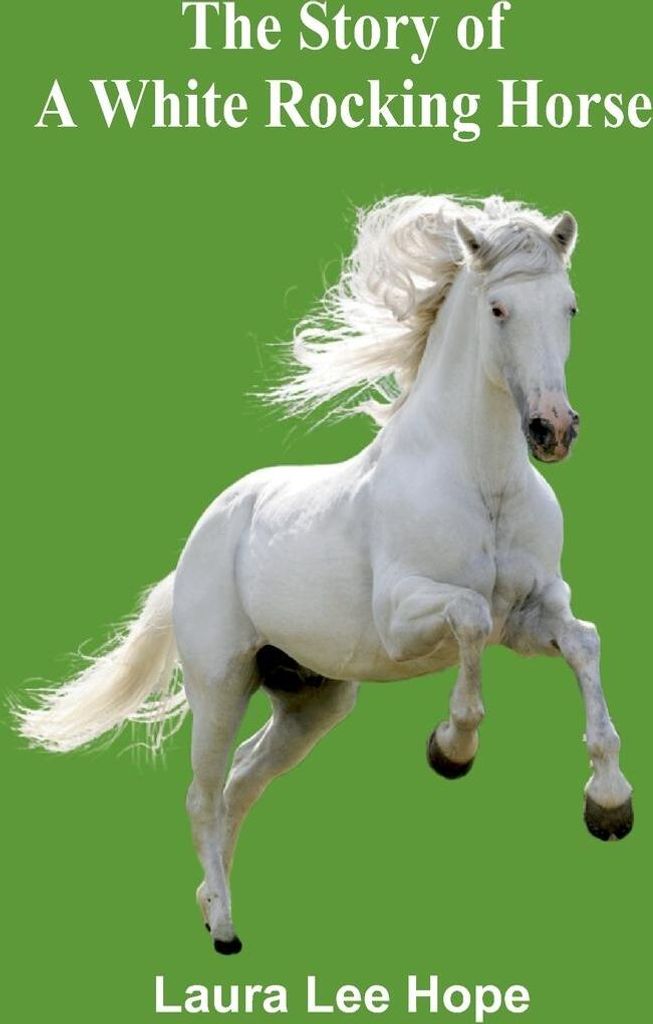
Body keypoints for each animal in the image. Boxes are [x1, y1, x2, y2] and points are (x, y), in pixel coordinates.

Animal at [16, 194, 634, 956]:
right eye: (498, 309)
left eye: (568, 306)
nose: (553, 429)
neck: (481, 482)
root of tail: (200, 539)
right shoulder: (406, 617)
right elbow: (469, 619)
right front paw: (451, 749)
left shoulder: (533, 613)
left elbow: (584, 641)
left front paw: (609, 805)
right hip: (220, 684)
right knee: (203, 795)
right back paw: (224, 928)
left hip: (311, 700)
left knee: (240, 784)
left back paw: (209, 901)